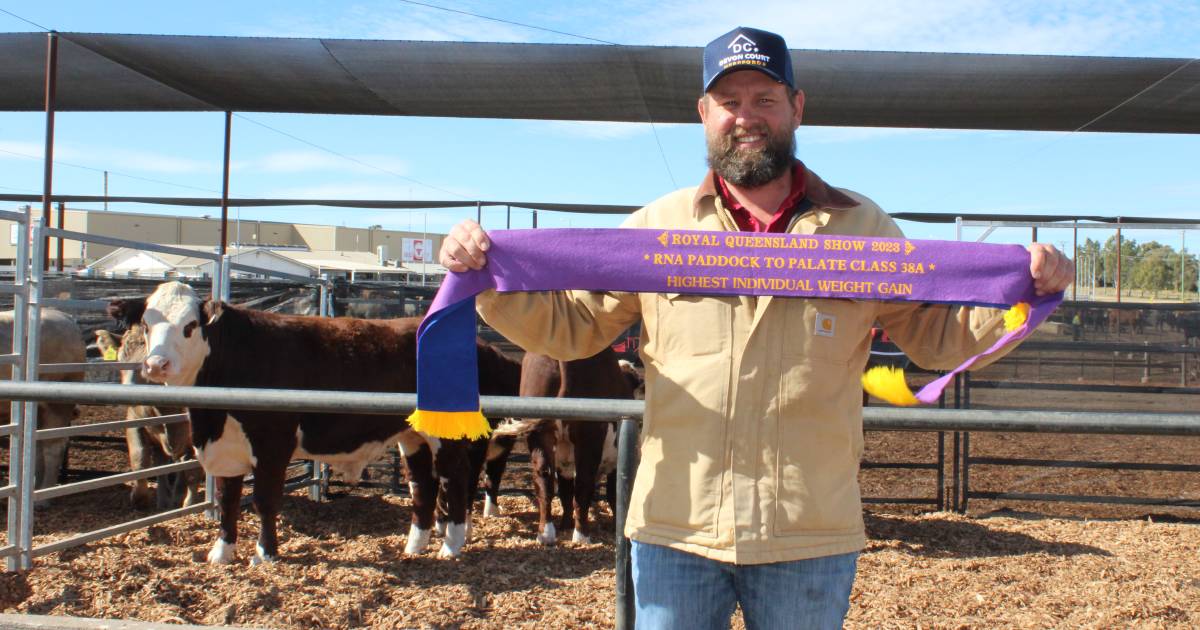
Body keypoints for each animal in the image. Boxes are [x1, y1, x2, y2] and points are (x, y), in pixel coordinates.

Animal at [1, 307, 84, 489]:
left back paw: (44, 491)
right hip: (38, 410)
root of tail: (65, 316)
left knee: (52, 447)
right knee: (37, 445)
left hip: (57, 404)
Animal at [106, 282, 492, 561]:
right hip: (412, 436)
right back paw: (414, 547)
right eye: (146, 325)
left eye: (189, 326)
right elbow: (228, 499)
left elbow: (263, 500)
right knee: (423, 485)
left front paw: (265, 554)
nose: (156, 365)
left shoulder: (272, 443)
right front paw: (221, 553)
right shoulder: (226, 448)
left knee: (454, 478)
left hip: (446, 435)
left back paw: (451, 546)